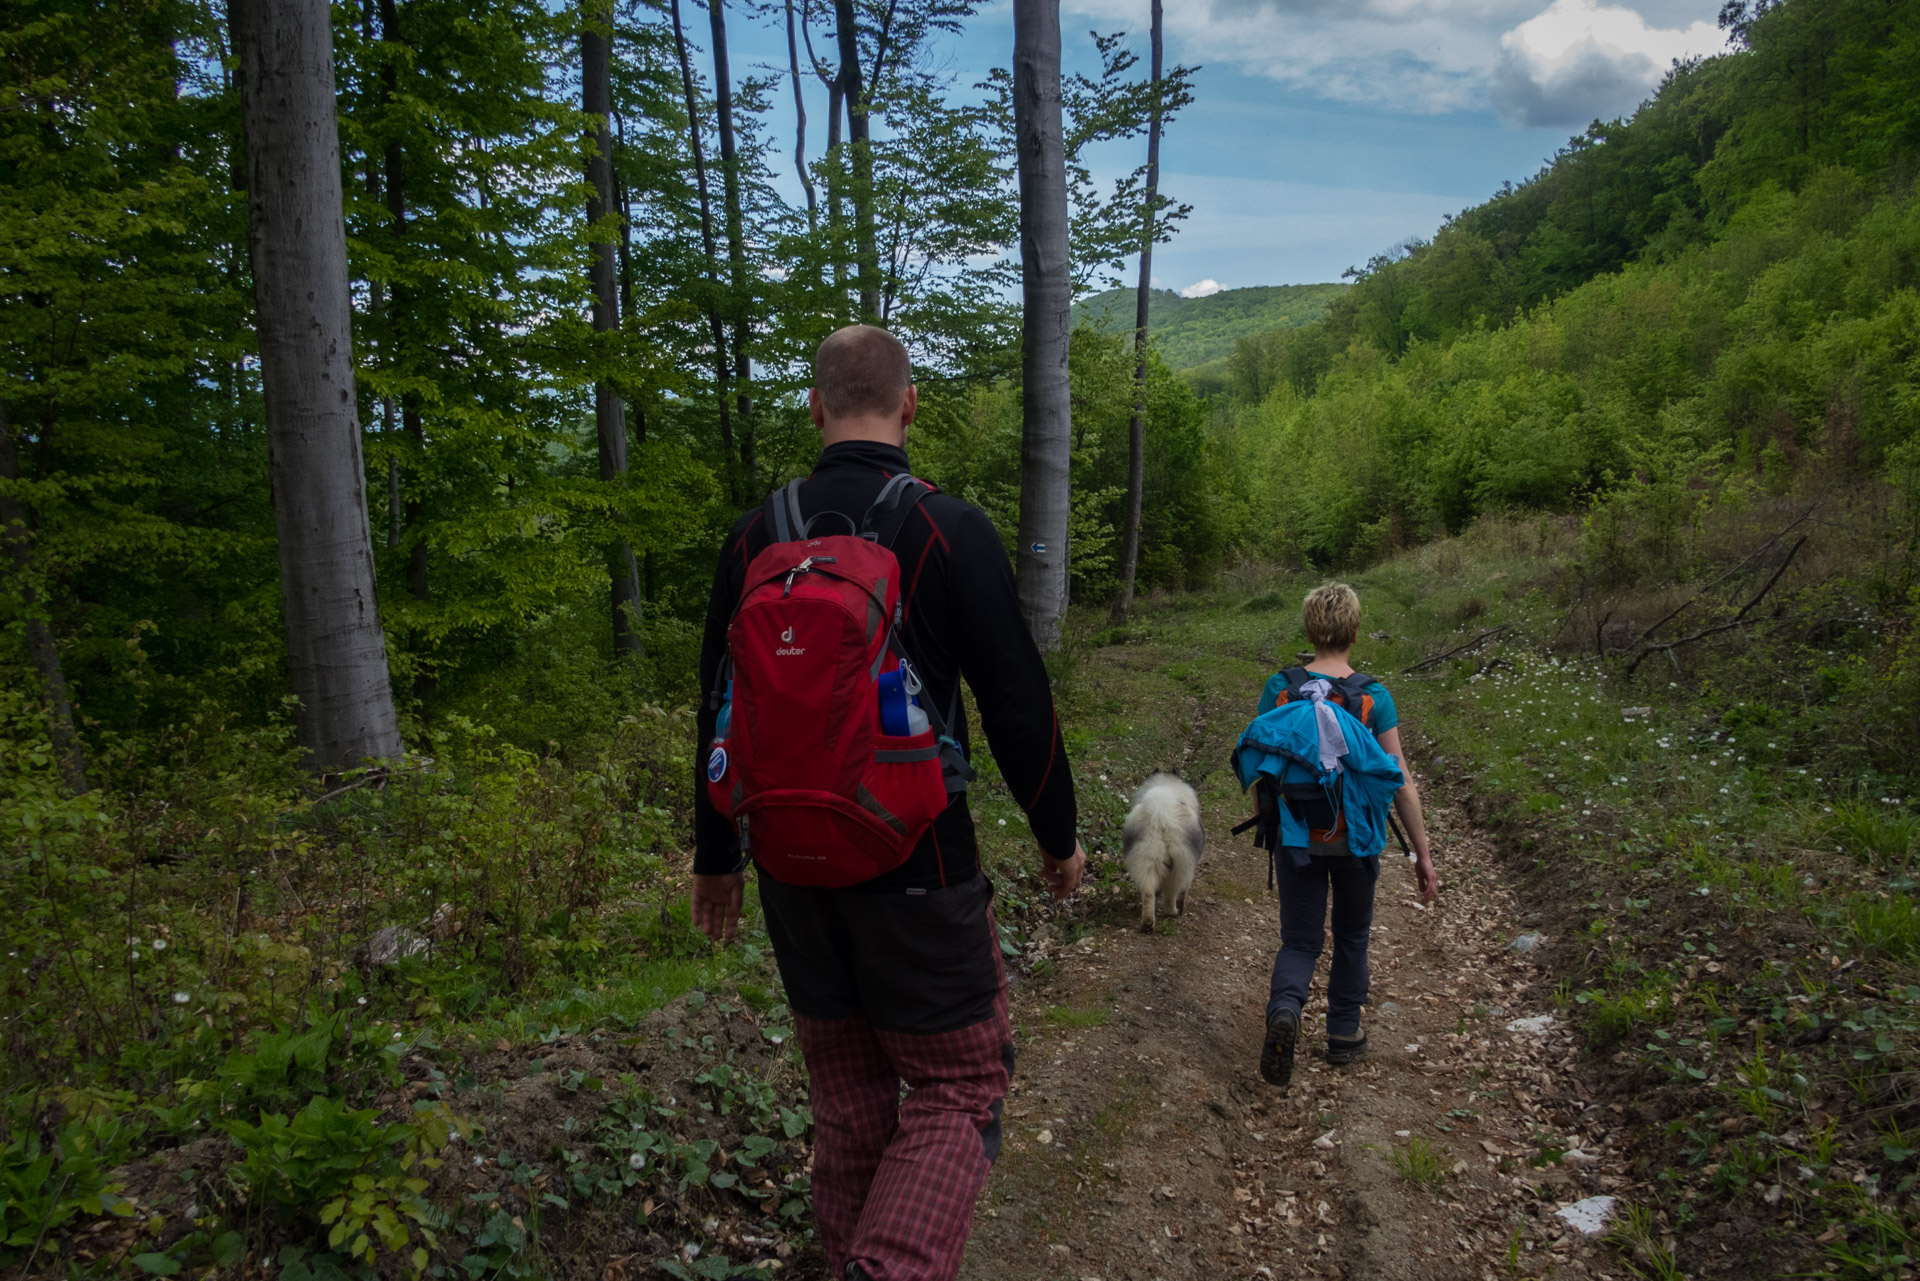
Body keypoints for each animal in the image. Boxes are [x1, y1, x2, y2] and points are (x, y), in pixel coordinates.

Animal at [1121, 772, 1198, 933]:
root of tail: (1161, 817)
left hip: (1145, 858)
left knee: (1148, 893)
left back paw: (1148, 923)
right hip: (1180, 865)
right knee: (1172, 895)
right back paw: (1174, 912)